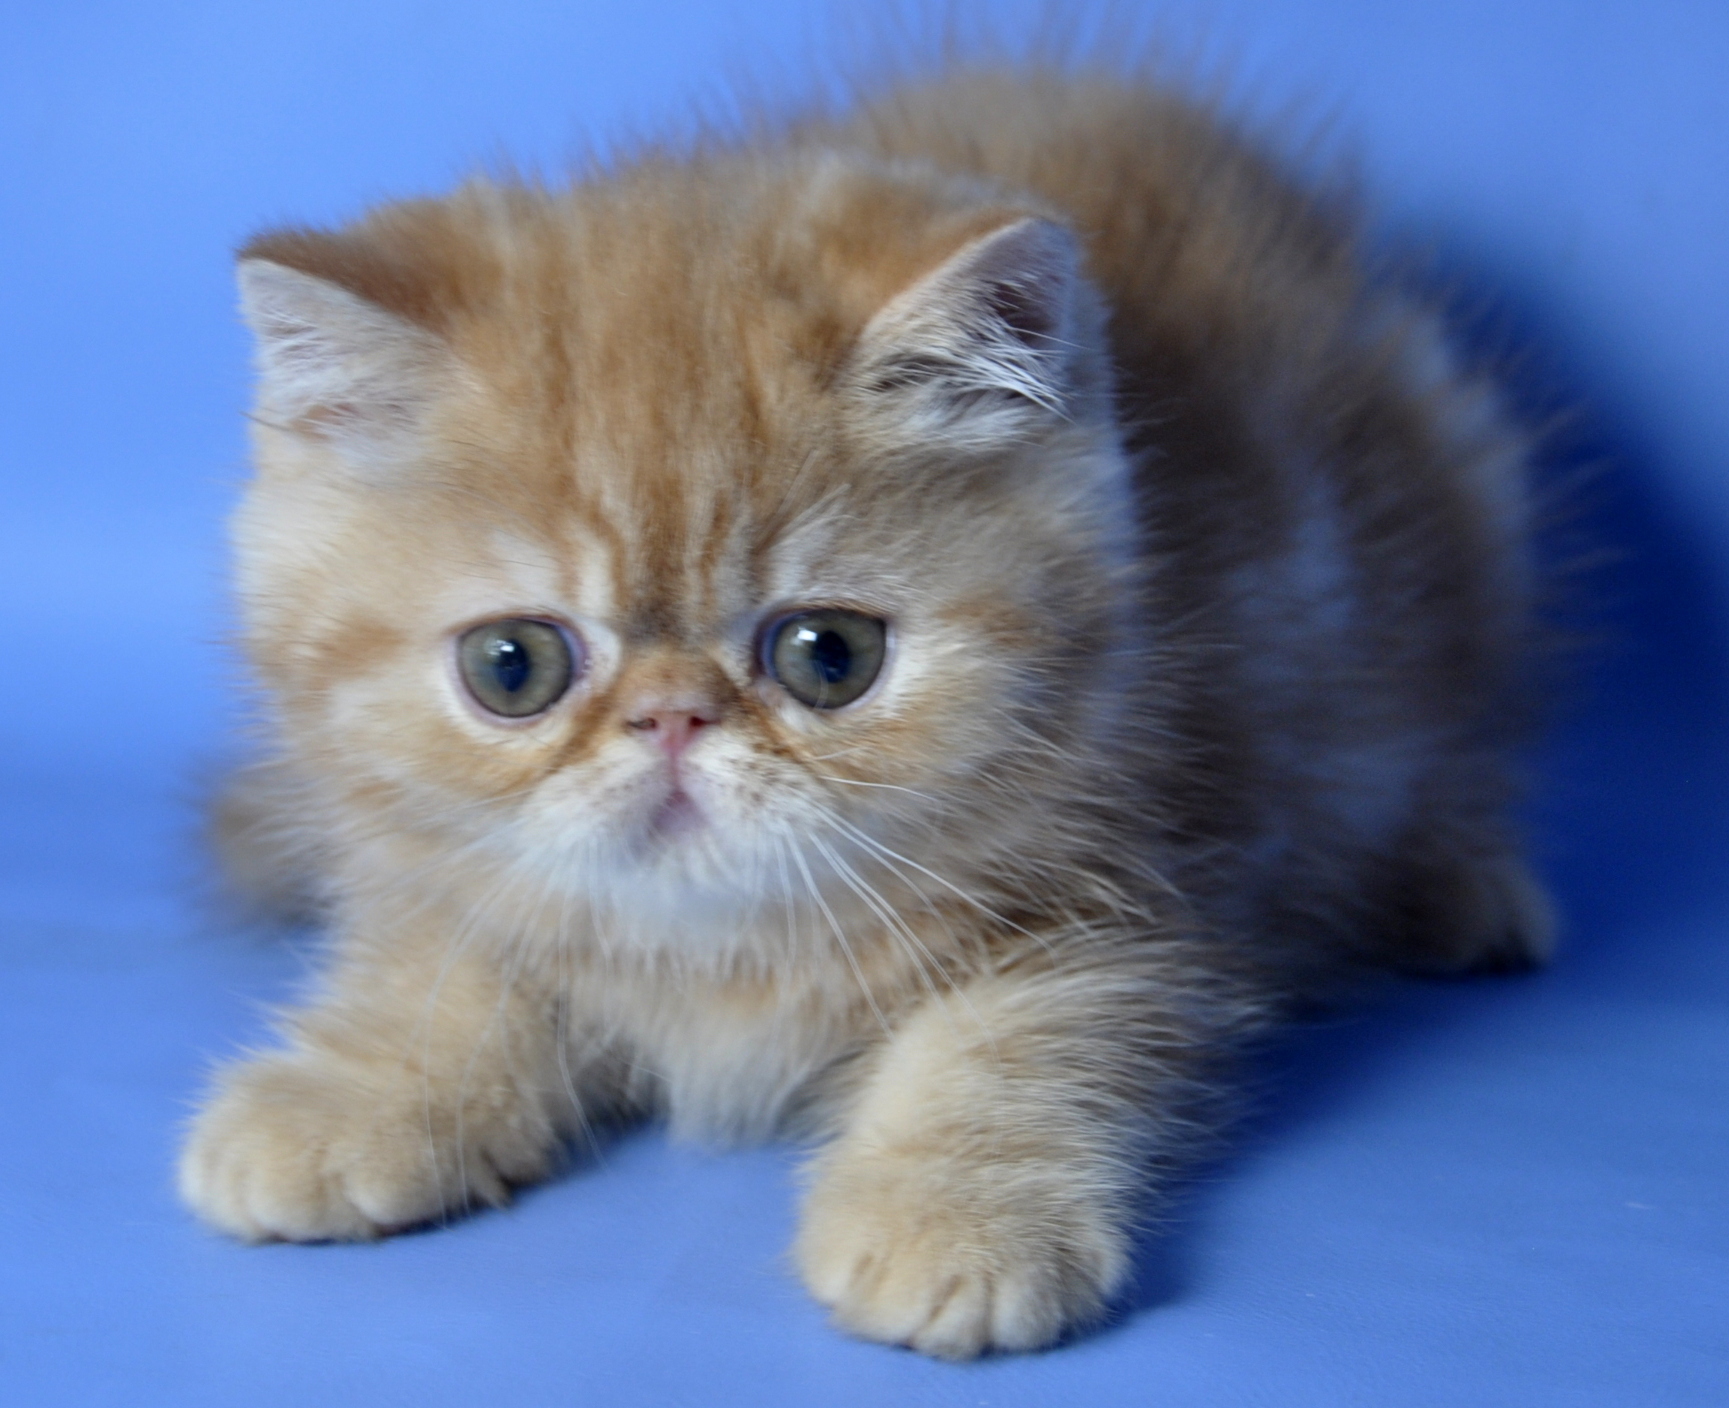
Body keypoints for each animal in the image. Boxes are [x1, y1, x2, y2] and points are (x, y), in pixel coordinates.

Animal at [178, 71, 1556, 1363]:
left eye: (827, 656)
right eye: (511, 667)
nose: (670, 719)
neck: (718, 952)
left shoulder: (1167, 864)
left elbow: (1023, 1031)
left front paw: (951, 1214)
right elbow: (447, 961)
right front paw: (353, 1093)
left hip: (1466, 504)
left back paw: (1459, 890)